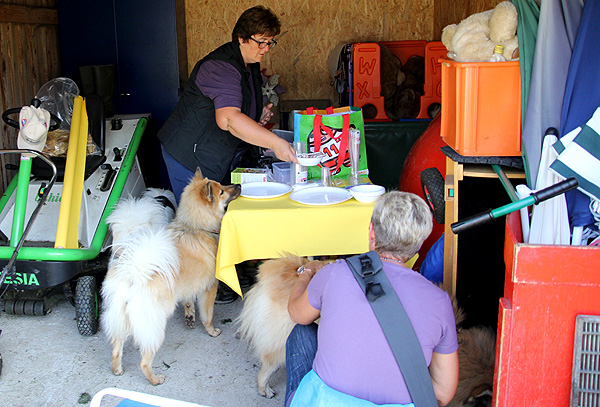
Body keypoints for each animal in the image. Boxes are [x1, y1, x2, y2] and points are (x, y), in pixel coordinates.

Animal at [99, 168, 240, 386]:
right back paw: (155, 379)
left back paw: (117, 369)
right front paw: (211, 331)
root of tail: (133, 274)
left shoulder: (188, 285)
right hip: (155, 323)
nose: (239, 185)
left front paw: (189, 317)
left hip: (120, 319)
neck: (194, 226)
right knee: (144, 361)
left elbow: (188, 302)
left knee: (116, 348)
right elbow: (207, 316)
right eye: (222, 191)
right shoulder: (209, 288)